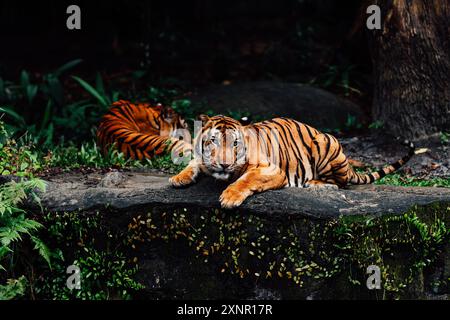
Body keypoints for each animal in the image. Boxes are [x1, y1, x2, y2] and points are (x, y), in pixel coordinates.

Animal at [169, 114, 418, 209]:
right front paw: (177, 178)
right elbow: (193, 163)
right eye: (213, 141)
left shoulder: (272, 170)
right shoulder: (201, 159)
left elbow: (245, 180)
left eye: (235, 144)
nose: (224, 164)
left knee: (340, 182)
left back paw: (315, 183)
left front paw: (229, 198)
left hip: (327, 142)